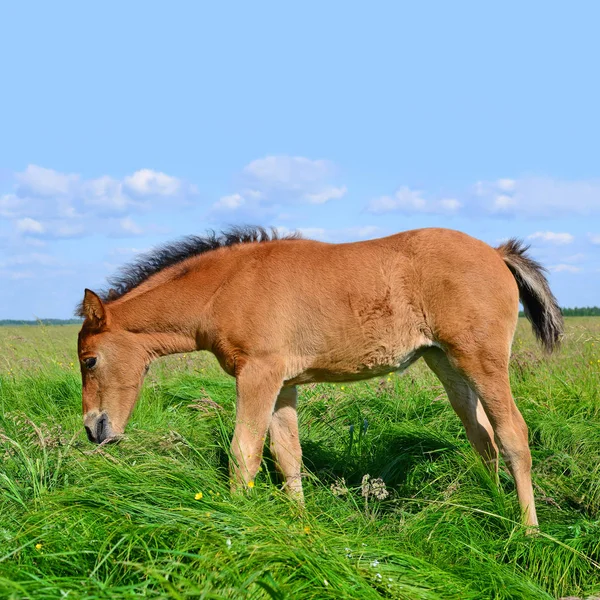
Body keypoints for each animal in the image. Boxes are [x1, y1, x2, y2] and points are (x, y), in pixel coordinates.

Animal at [78, 227, 564, 528]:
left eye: (89, 361)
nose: (93, 430)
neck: (227, 286)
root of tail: (495, 253)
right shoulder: (283, 384)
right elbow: (287, 457)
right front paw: (301, 525)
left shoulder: (257, 374)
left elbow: (244, 453)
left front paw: (236, 521)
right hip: (447, 364)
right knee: (483, 437)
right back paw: (492, 505)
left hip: (483, 361)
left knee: (512, 435)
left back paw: (527, 531)